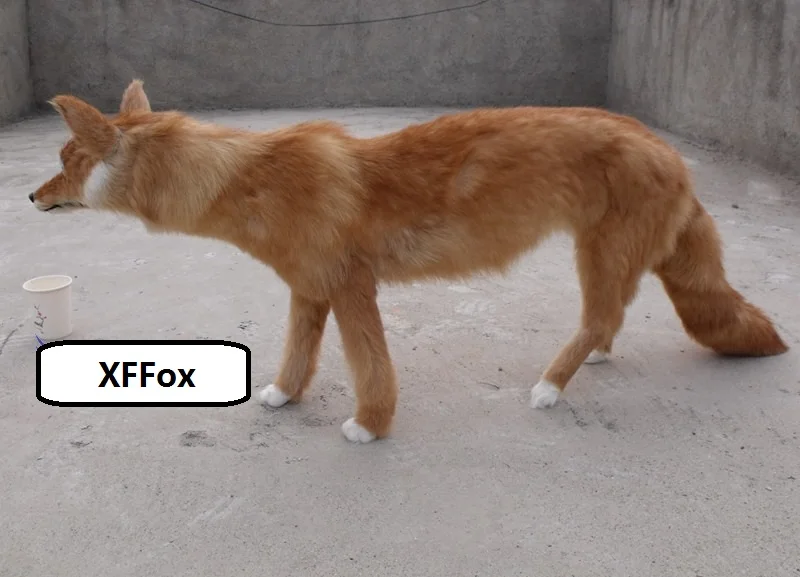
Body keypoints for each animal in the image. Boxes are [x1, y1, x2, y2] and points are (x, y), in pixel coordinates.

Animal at [29, 79, 788, 443]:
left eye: (68, 161)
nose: (32, 196)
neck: (252, 179)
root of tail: (667, 147)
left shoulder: (350, 289)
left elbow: (370, 367)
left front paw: (371, 425)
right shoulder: (309, 290)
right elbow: (295, 356)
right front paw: (282, 395)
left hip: (597, 255)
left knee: (600, 319)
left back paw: (551, 385)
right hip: (609, 258)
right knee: (609, 320)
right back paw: (590, 361)